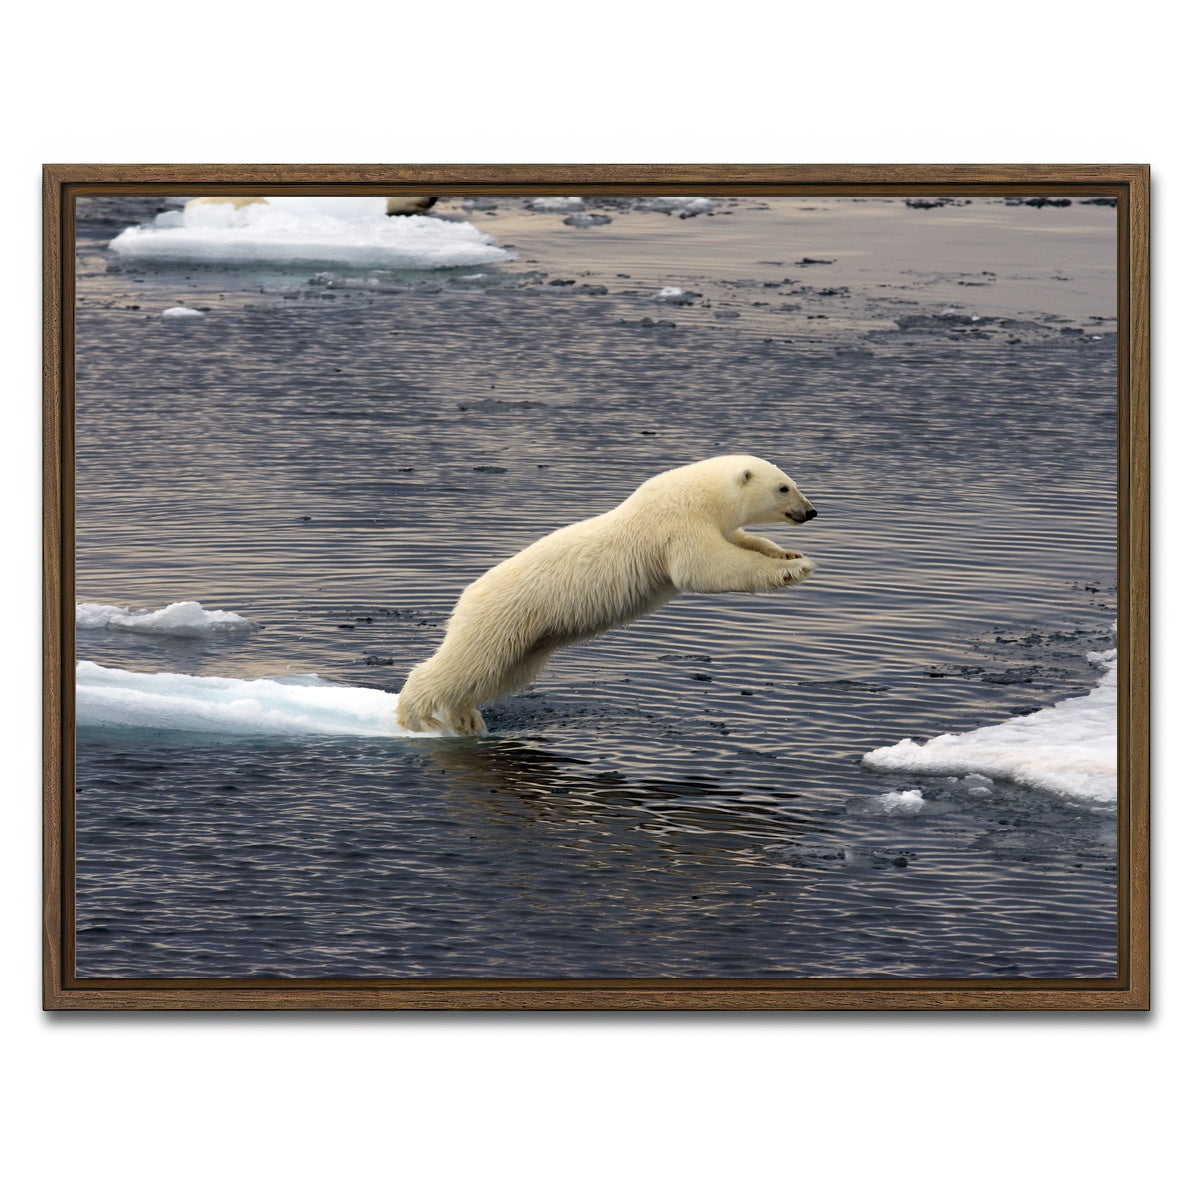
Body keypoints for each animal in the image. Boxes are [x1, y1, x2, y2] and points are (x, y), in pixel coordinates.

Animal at [395, 454, 818, 735]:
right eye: (784, 487)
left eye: (793, 480)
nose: (811, 511)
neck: (698, 494)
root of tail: (467, 596)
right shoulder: (676, 525)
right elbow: (707, 568)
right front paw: (791, 570)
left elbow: (744, 541)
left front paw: (789, 554)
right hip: (504, 616)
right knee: (468, 663)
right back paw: (416, 716)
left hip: (530, 640)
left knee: (499, 674)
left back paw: (465, 717)